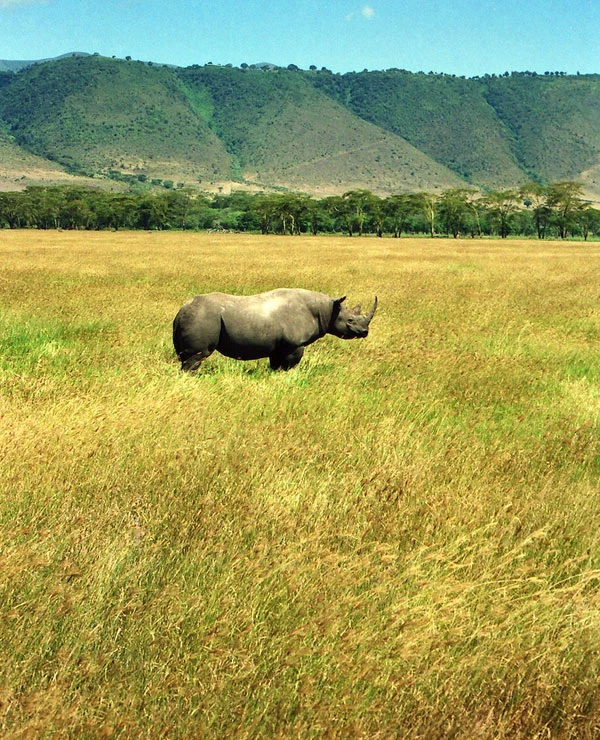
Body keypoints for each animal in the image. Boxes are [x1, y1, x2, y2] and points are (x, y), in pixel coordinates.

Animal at [172, 288, 377, 372]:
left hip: (195, 316)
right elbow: (290, 366)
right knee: (196, 356)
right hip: (203, 316)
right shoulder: (294, 344)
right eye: (350, 320)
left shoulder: (279, 346)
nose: (365, 332)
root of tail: (181, 309)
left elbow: (276, 365)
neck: (326, 310)